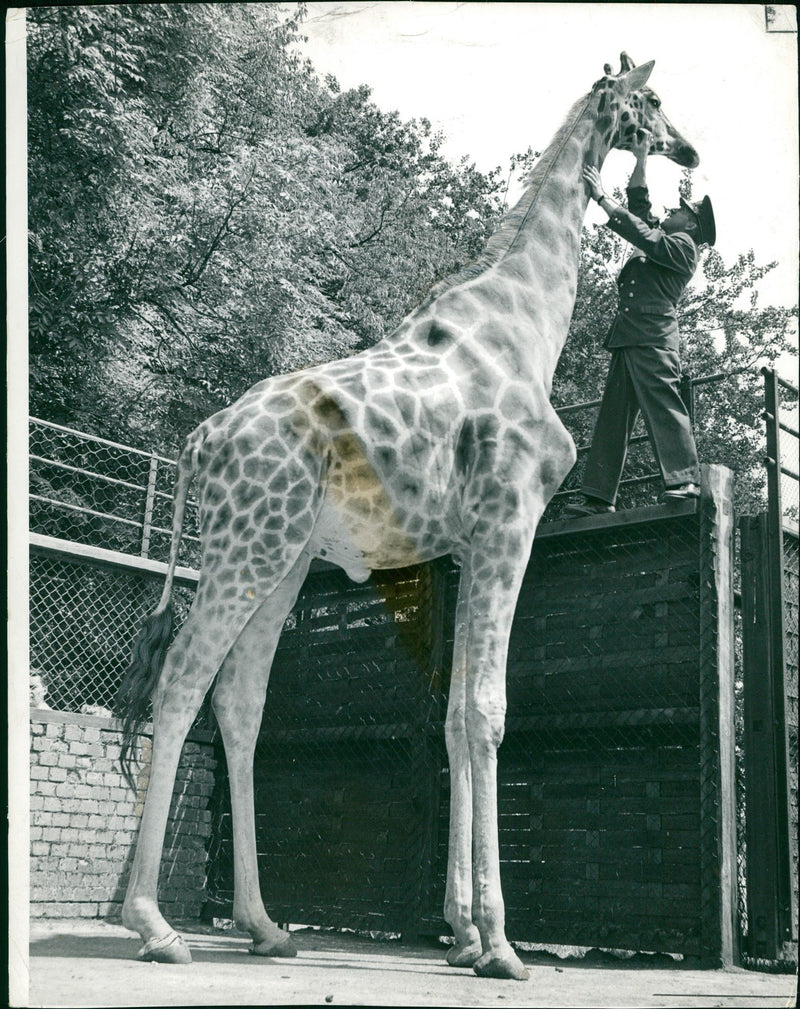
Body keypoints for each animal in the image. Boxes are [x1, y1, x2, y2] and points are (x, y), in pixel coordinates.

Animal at [115, 53, 694, 976]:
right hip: (247, 547)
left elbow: (455, 717)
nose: (691, 150)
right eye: (655, 101)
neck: (527, 324)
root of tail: (197, 444)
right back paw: (155, 923)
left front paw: (461, 931)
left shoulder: (463, 546)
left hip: (282, 558)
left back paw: (263, 923)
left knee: (240, 700)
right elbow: (488, 712)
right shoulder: (508, 522)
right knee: (183, 682)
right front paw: (500, 942)